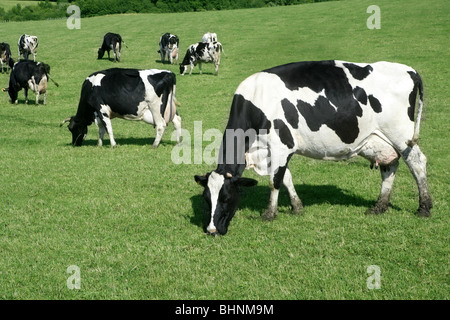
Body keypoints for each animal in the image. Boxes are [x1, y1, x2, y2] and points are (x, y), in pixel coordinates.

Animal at [194, 60, 432, 235]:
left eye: (226, 198)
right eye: (206, 199)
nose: (212, 230)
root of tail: (409, 70)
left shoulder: (280, 145)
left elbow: (274, 181)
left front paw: (269, 214)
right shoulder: (277, 151)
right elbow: (286, 178)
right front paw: (297, 207)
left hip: (401, 135)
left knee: (417, 162)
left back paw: (424, 207)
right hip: (381, 141)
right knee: (389, 166)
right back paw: (379, 206)